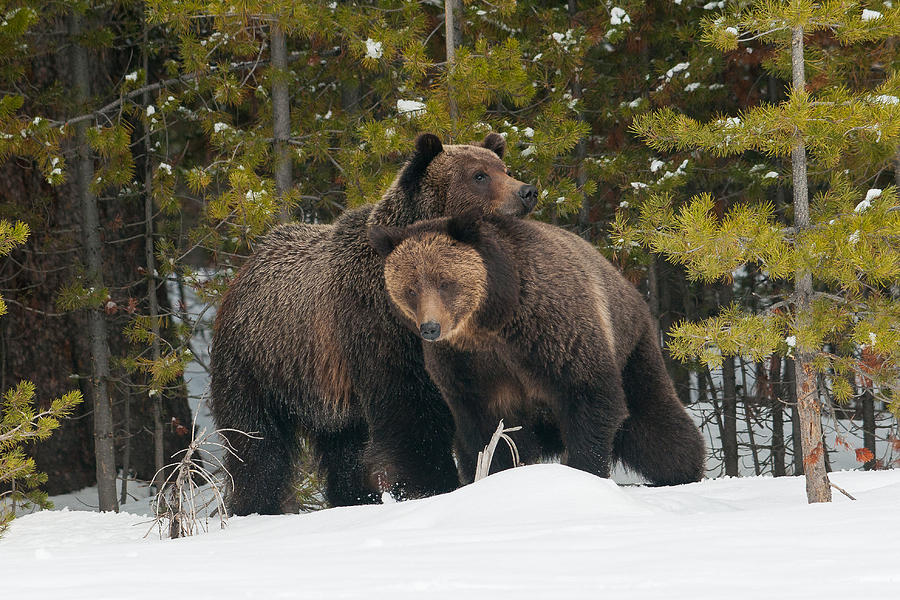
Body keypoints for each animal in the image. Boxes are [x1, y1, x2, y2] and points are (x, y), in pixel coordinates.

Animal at [210, 132, 536, 516]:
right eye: (478, 175)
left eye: (504, 168)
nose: (526, 191)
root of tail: (244, 268)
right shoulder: (380, 327)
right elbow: (411, 414)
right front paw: (433, 486)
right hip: (261, 363)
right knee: (256, 441)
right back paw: (258, 505)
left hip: (327, 388)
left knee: (343, 446)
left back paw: (353, 499)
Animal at [370, 213, 708, 486]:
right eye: (410, 288)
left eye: (445, 282)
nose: (430, 327)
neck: (488, 323)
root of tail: (625, 282)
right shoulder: (468, 367)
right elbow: (490, 431)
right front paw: (497, 474)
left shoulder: (550, 331)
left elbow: (589, 395)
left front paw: (583, 470)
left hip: (632, 348)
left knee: (656, 427)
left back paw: (684, 469)